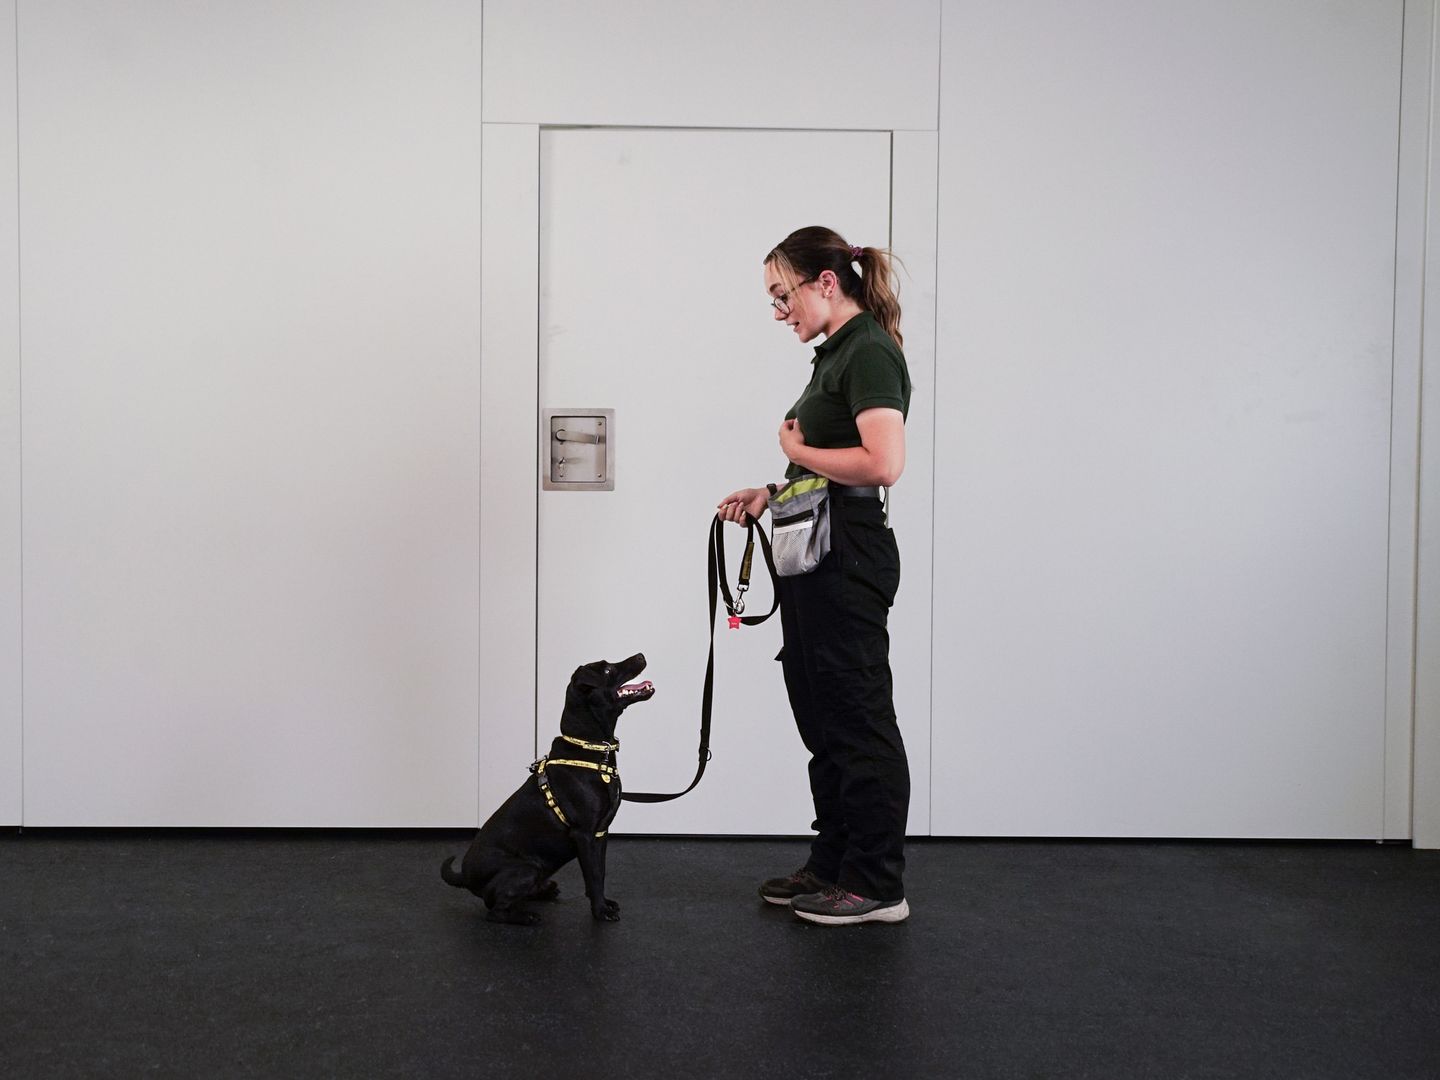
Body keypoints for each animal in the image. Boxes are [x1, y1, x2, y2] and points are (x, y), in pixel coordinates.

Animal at [440, 656, 656, 927]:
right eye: (607, 670)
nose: (641, 655)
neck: (593, 749)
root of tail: (466, 877)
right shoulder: (584, 834)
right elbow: (594, 877)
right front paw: (600, 911)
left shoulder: (600, 833)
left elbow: (600, 872)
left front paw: (604, 903)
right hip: (525, 869)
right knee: (494, 911)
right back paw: (526, 916)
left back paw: (543, 891)